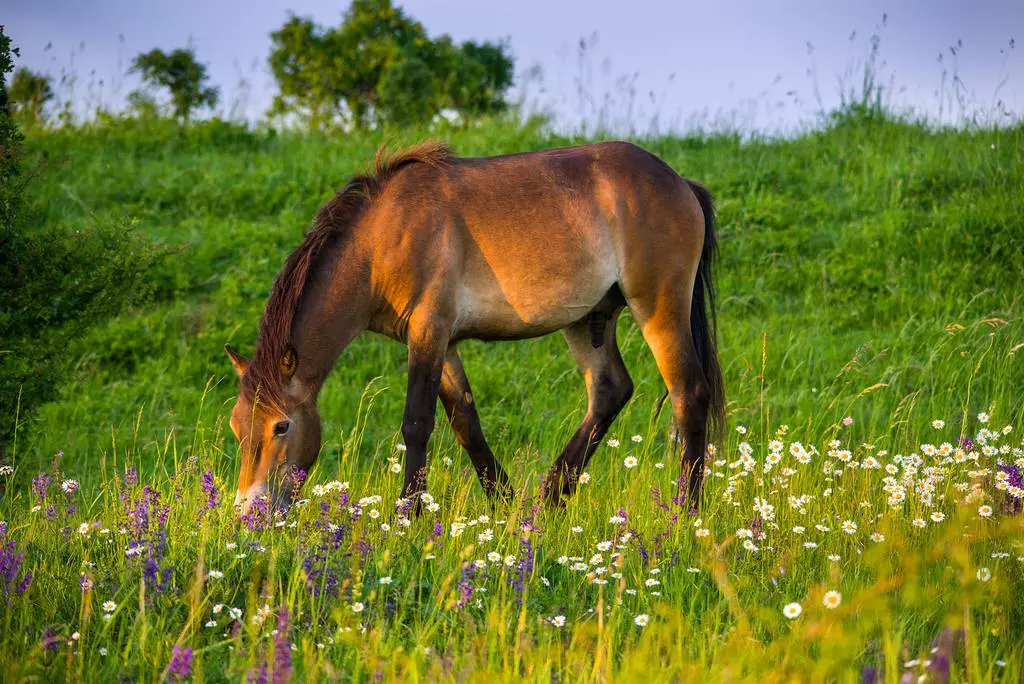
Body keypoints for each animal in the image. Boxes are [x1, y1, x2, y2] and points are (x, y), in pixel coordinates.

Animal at [228, 137, 724, 511]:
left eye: (281, 427)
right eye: (237, 427)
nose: (249, 512)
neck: (382, 237)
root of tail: (680, 183)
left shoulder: (429, 330)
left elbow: (417, 423)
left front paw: (407, 515)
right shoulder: (442, 342)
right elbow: (466, 423)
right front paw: (503, 504)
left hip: (659, 307)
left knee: (689, 395)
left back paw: (686, 513)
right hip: (588, 320)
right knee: (610, 391)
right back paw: (549, 500)